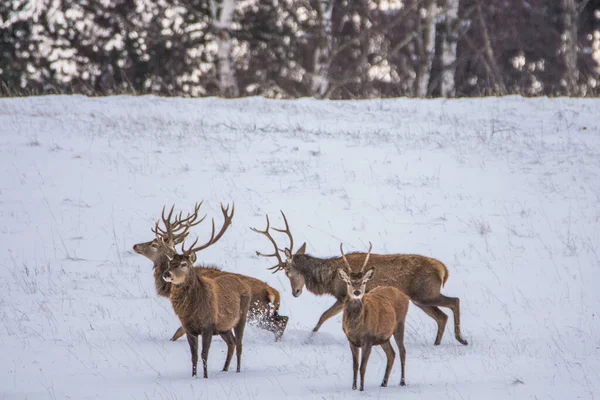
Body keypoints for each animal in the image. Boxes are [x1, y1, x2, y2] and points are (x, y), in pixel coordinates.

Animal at [134, 203, 288, 340]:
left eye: (154, 244)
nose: (135, 246)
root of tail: (274, 293)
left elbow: (178, 333)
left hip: (256, 312)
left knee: (280, 324)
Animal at [155, 203, 251, 378]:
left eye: (184, 264)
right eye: (171, 262)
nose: (167, 274)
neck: (192, 311)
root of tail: (243, 283)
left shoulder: (208, 326)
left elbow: (204, 355)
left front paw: (205, 377)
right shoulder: (189, 328)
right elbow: (193, 356)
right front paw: (194, 376)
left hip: (242, 316)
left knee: (239, 344)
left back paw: (238, 371)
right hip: (224, 327)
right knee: (232, 343)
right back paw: (224, 369)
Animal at [251, 211, 466, 346]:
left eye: (287, 272)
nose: (295, 292)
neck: (330, 279)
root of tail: (443, 270)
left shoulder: (343, 297)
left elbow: (323, 317)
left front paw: (308, 340)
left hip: (426, 293)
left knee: (454, 301)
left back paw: (461, 338)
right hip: (420, 298)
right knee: (441, 316)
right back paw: (437, 342)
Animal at [338, 241, 408, 390]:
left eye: (364, 282)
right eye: (349, 282)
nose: (357, 292)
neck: (356, 328)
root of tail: (404, 295)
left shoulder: (368, 339)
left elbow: (363, 367)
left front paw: (361, 389)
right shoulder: (351, 340)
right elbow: (355, 366)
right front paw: (353, 388)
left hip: (400, 323)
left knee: (402, 351)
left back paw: (402, 382)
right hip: (384, 337)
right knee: (391, 354)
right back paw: (383, 383)